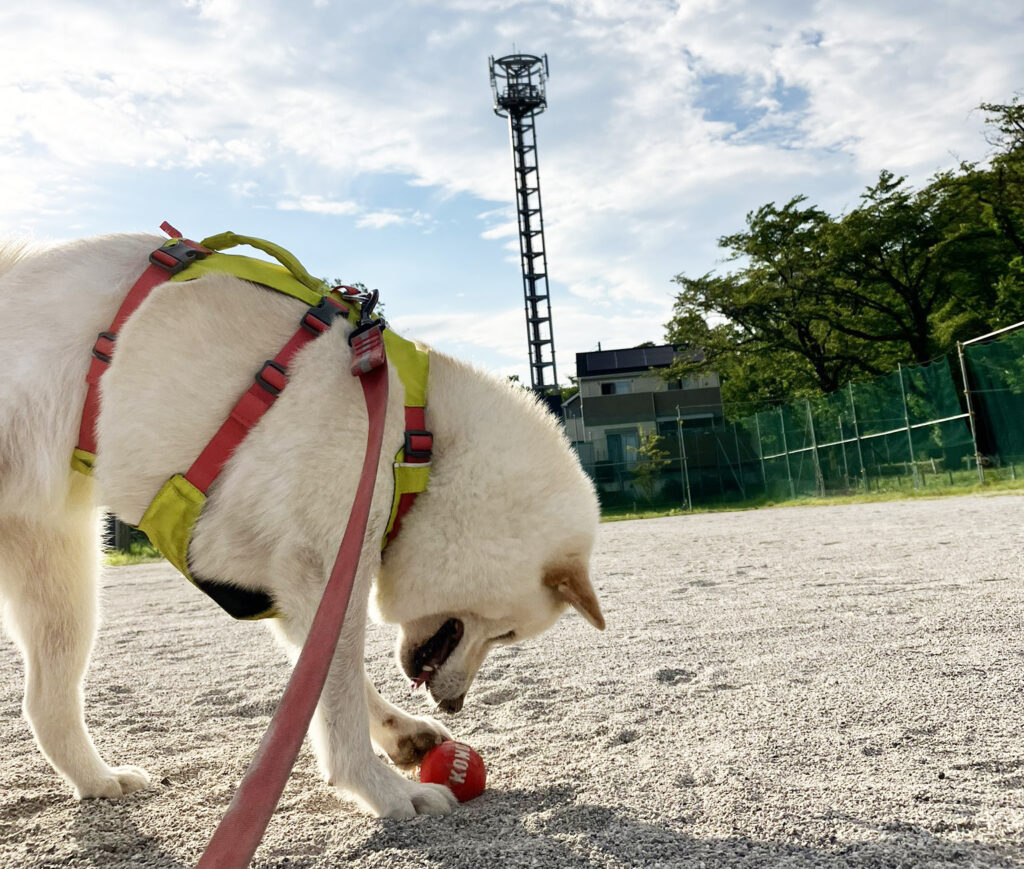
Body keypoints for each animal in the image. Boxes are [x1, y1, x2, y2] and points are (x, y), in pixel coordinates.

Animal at [0, 234, 602, 818]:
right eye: (506, 634)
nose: (454, 705)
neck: (418, 441)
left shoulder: (299, 583)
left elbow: (327, 686)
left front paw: (402, 736)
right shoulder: (327, 563)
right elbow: (339, 694)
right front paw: (382, 790)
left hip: (61, 566)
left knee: (44, 701)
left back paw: (98, 780)